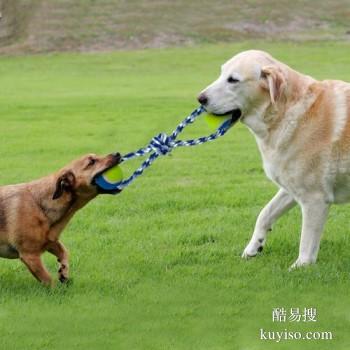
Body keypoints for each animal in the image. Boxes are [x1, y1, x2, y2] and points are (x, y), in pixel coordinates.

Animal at [0, 152, 121, 284]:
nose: (117, 154)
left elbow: (64, 252)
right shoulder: (30, 255)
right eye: (92, 162)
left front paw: (63, 272)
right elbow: (48, 280)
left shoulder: (51, 241)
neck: (40, 204)